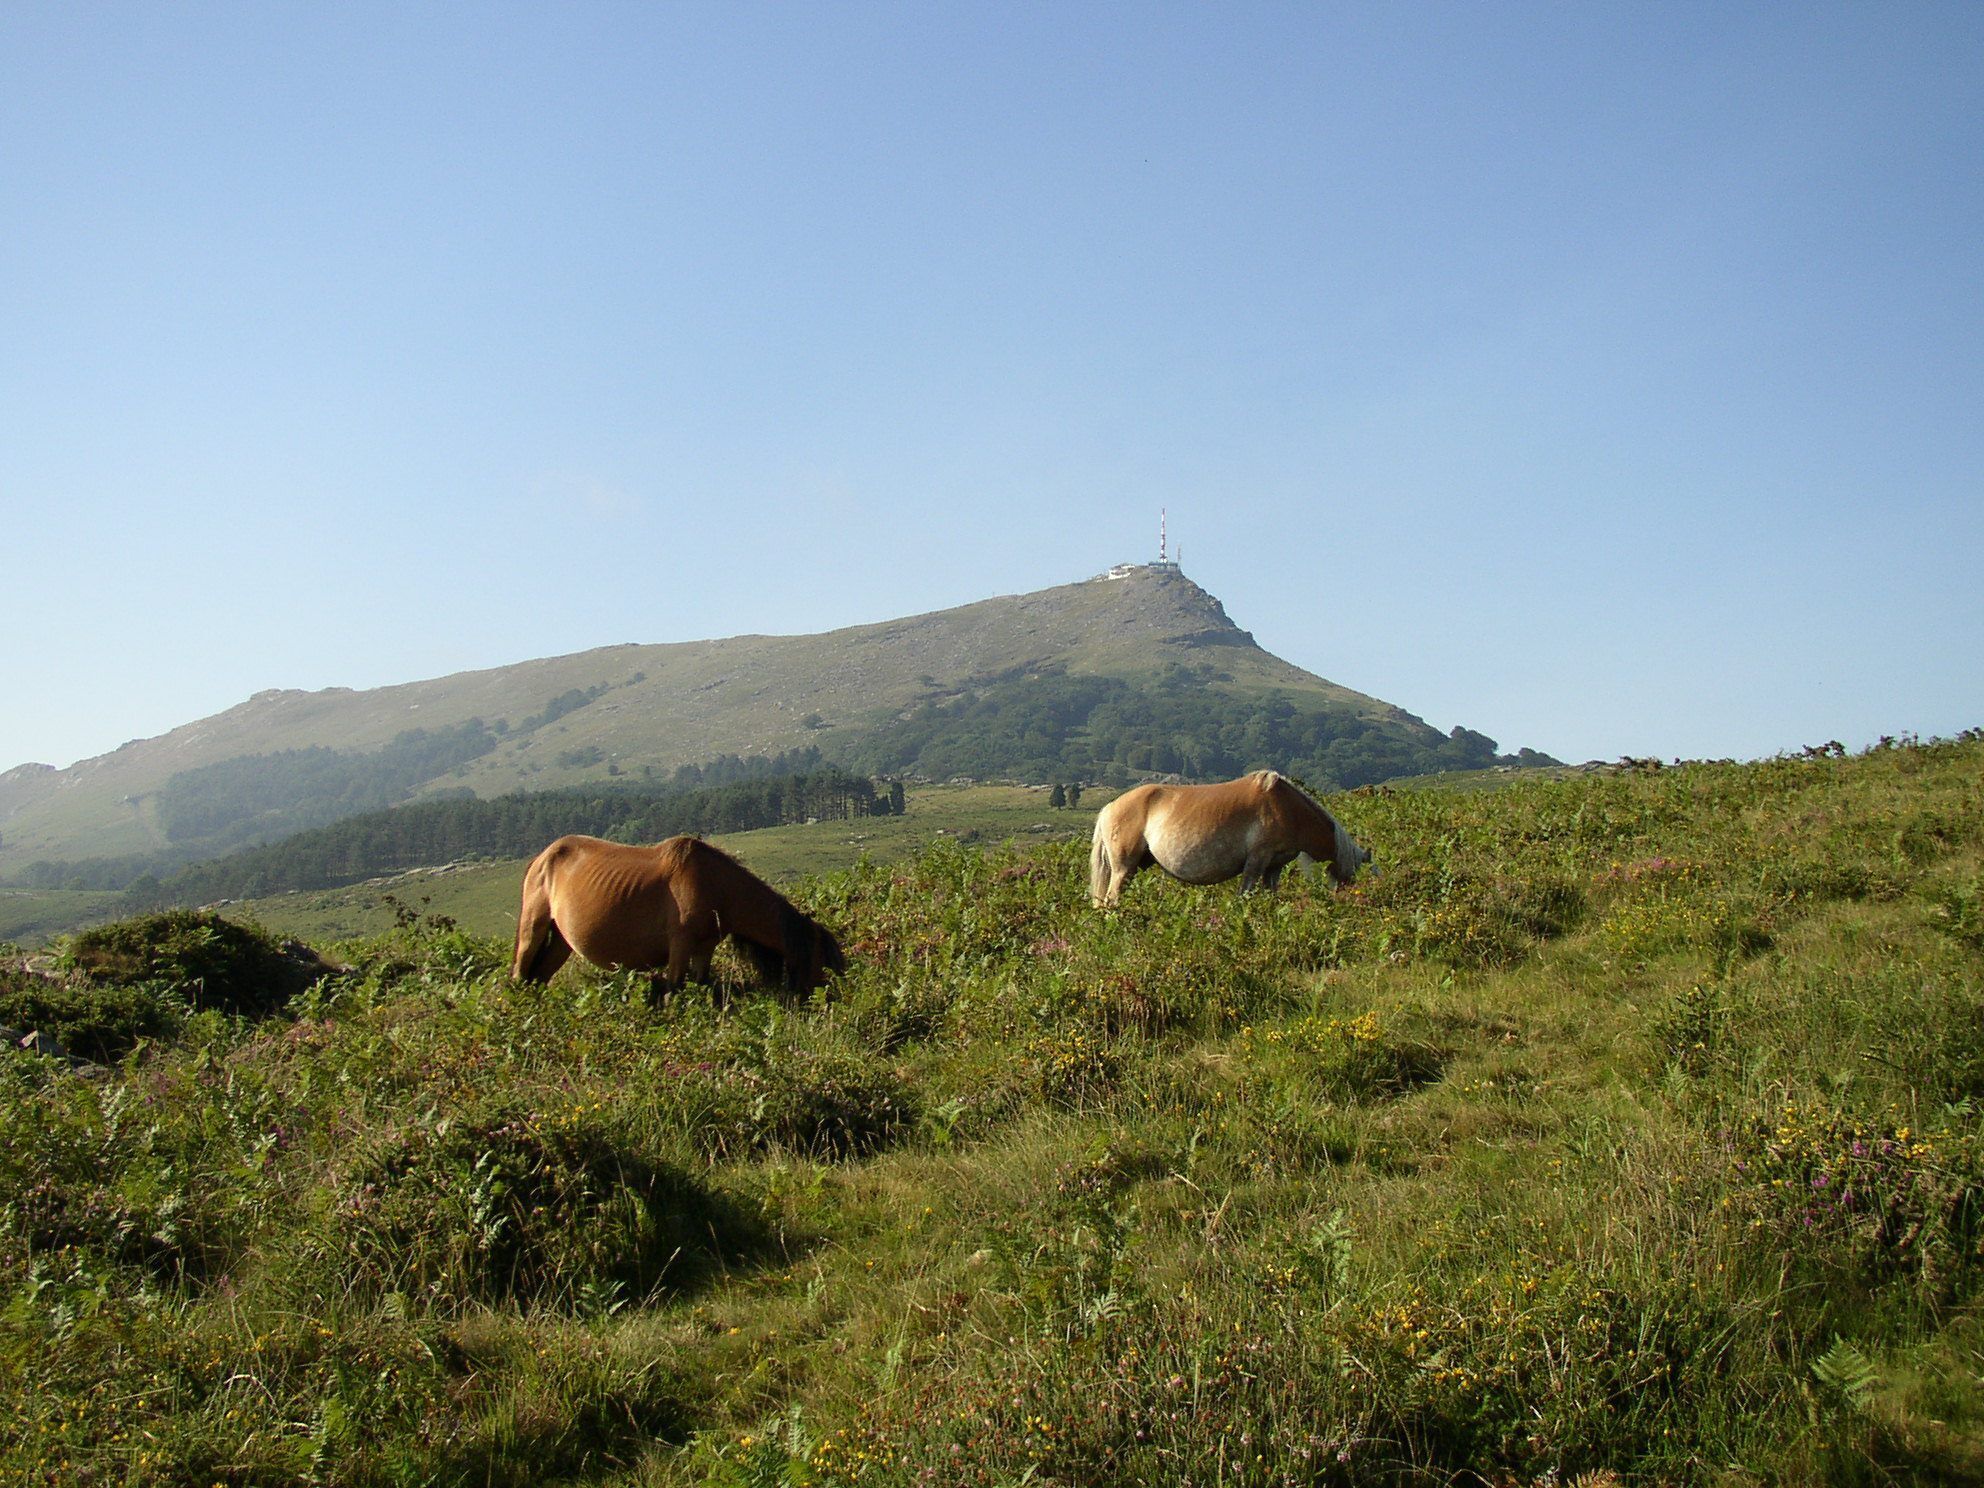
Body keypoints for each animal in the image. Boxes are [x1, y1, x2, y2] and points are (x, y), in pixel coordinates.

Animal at [511, 834, 845, 996]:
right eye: (819, 956)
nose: (825, 996)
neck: (716, 886)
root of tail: (542, 857)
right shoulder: (680, 946)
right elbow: (674, 991)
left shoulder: (704, 948)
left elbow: (700, 985)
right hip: (534, 927)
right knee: (520, 974)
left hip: (561, 942)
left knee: (538, 978)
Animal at [1089, 770, 1371, 908]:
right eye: (1353, 875)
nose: (1353, 904)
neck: (1287, 808)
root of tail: (1109, 807)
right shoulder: (1257, 861)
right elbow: (1245, 896)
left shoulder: (1274, 866)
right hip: (1123, 868)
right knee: (1110, 901)